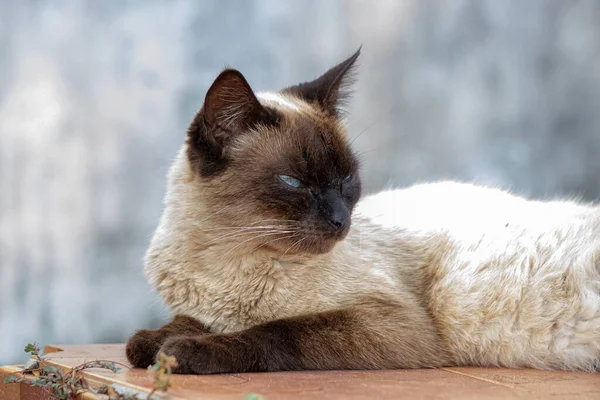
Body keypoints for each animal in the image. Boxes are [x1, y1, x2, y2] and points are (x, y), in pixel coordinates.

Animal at [126, 48, 600, 374]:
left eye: (347, 182)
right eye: (295, 183)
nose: (341, 220)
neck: (226, 261)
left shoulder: (389, 322)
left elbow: (276, 330)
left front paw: (182, 353)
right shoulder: (206, 307)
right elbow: (175, 325)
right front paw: (152, 343)